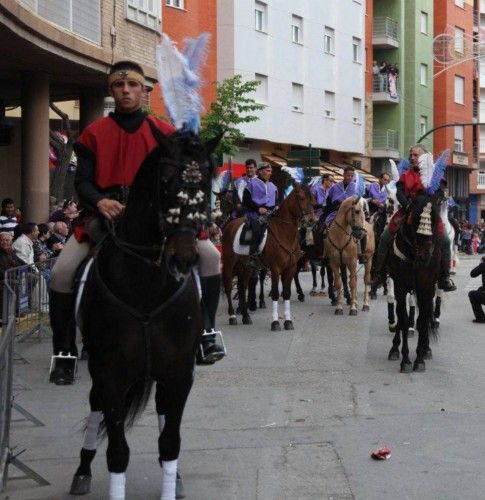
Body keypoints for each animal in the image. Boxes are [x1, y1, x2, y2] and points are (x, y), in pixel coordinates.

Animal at [69, 131, 216, 498]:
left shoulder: (179, 373)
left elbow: (170, 442)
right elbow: (118, 452)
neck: (147, 287)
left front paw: (171, 479)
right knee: (95, 406)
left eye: (206, 183)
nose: (183, 258)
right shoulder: (110, 374)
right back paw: (82, 469)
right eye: (163, 182)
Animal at [220, 184, 312, 332]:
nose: (311, 220)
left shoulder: (290, 268)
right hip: (229, 263)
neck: (284, 233)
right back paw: (233, 316)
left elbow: (286, 293)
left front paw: (288, 321)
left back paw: (245, 316)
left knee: (242, 287)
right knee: (229, 286)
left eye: (312, 199)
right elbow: (275, 293)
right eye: (302, 198)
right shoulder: (275, 269)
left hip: (245, 267)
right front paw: (275, 322)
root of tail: (230, 225)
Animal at [388, 193, 440, 374]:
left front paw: (419, 359)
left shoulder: (426, 287)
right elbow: (403, 319)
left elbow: (423, 321)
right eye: (414, 219)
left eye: (435, 219)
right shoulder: (400, 286)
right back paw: (394, 349)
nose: (425, 257)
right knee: (400, 314)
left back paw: (426, 349)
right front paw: (405, 359)